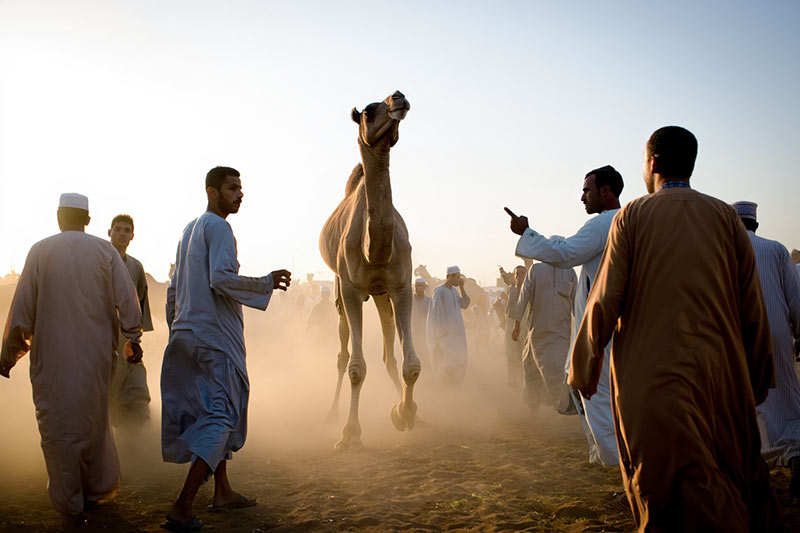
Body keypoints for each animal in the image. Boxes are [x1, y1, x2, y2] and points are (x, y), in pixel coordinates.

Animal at [319, 91, 419, 450]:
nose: (398, 98)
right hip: (340, 290)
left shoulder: (401, 286)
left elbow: (411, 365)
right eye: (366, 111)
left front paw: (405, 414)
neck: (374, 250)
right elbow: (355, 368)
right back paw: (331, 415)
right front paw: (350, 434)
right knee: (342, 353)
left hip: (381, 296)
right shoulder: (351, 289)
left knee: (390, 355)